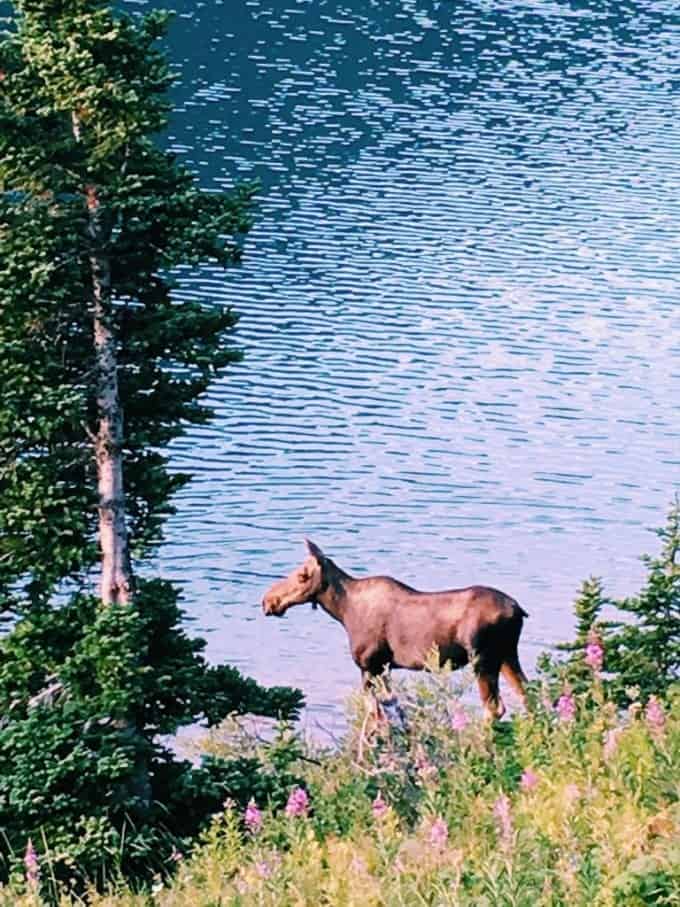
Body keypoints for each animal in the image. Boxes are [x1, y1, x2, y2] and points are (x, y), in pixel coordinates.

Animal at [262, 540, 528, 724]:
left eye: (302, 575)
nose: (268, 600)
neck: (343, 611)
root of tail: (518, 610)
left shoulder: (369, 665)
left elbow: (374, 714)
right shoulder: (384, 668)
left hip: (483, 660)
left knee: (494, 708)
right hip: (507, 655)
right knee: (526, 695)